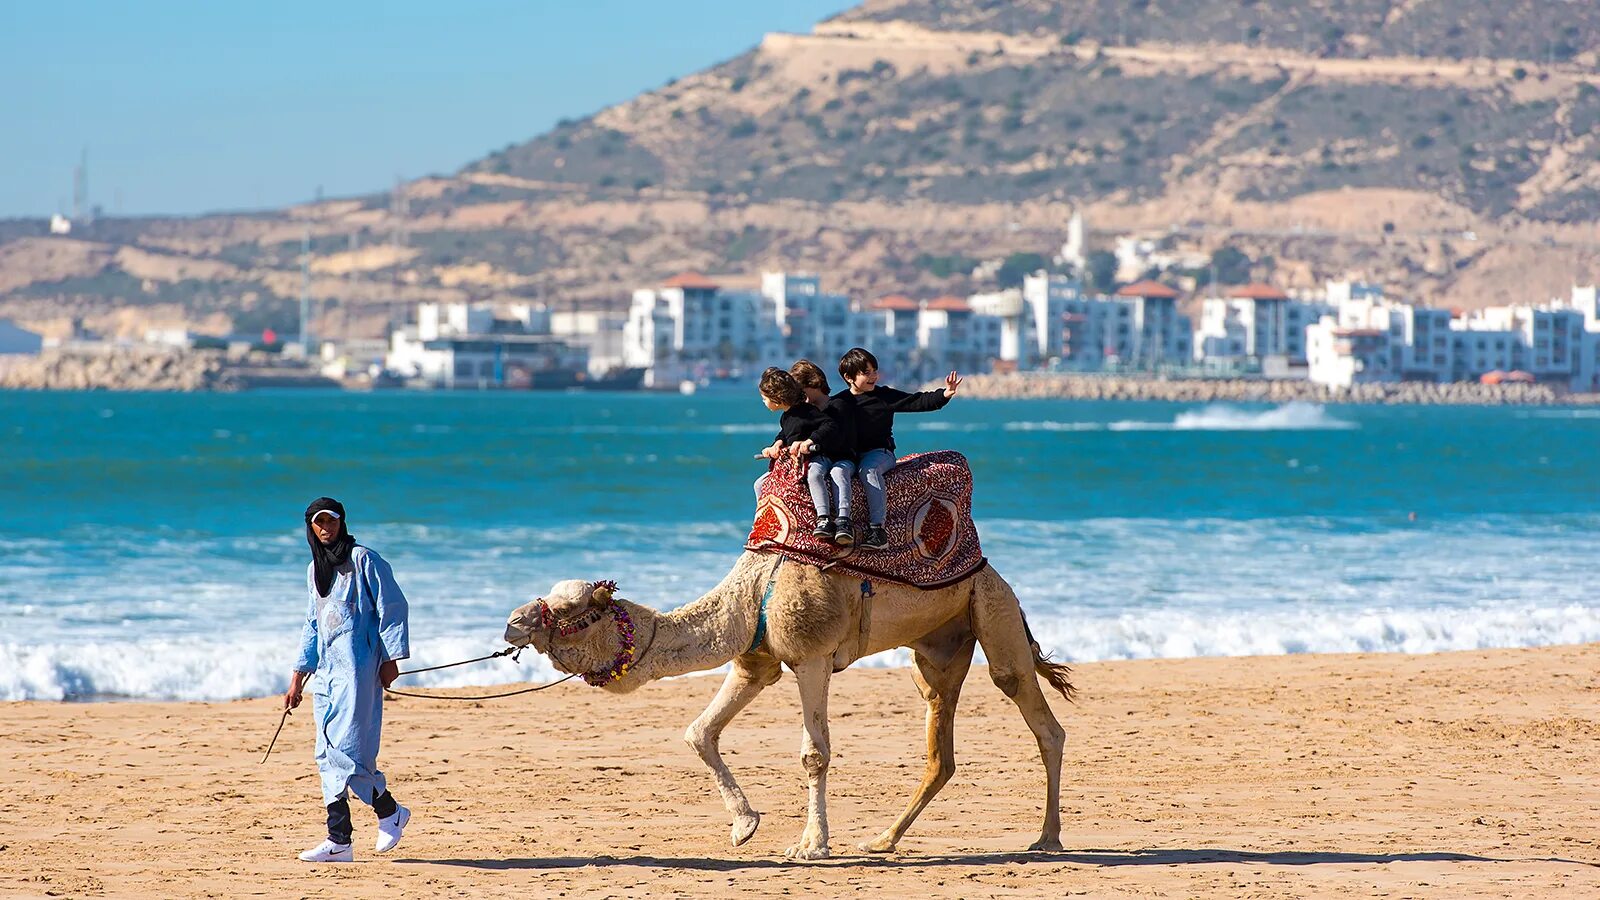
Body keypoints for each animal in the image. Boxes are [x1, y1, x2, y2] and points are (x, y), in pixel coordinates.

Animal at [502, 547, 1075, 851]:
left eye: (572, 612)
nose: (512, 622)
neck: (751, 594)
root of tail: (995, 573)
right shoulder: (755, 662)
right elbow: (699, 732)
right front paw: (744, 826)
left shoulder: (812, 657)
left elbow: (814, 753)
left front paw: (810, 844)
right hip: (937, 649)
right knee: (941, 750)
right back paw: (883, 840)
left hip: (993, 611)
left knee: (1037, 714)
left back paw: (1047, 838)